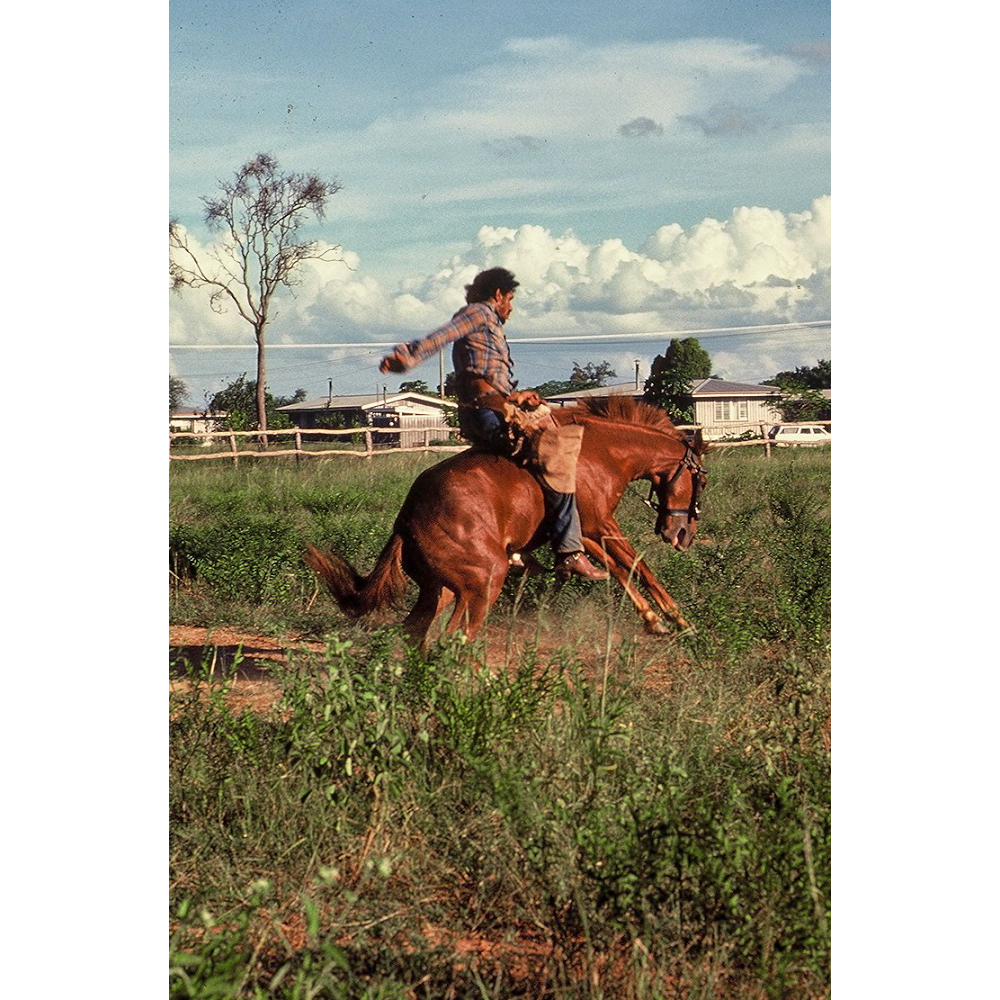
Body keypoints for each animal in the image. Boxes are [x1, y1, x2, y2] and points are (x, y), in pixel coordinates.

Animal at [304, 394, 704, 644]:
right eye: (701, 478)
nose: (683, 534)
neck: (599, 451)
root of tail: (406, 523)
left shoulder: (589, 534)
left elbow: (621, 570)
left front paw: (657, 620)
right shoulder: (598, 525)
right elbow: (638, 567)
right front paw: (679, 621)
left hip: (441, 591)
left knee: (415, 633)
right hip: (483, 584)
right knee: (454, 639)